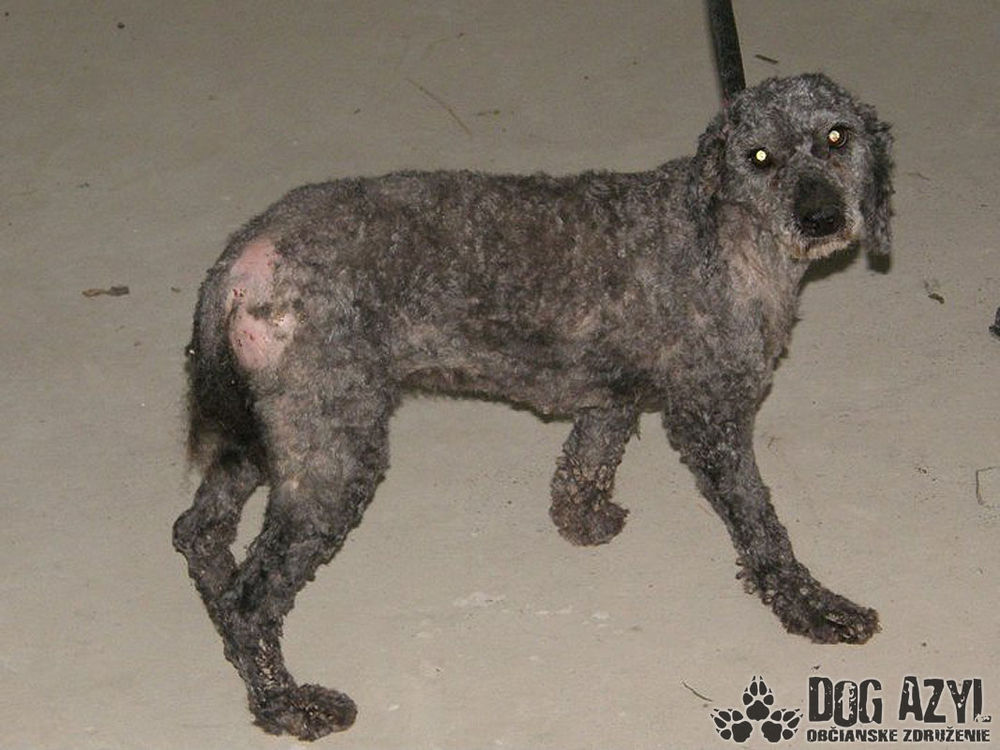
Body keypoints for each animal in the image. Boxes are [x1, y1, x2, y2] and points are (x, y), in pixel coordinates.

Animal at [174, 73, 893, 739]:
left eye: (838, 137)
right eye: (759, 156)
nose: (821, 218)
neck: (726, 231)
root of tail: (243, 259)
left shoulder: (613, 396)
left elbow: (587, 459)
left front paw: (582, 518)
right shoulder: (710, 418)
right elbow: (763, 529)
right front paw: (814, 606)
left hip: (270, 434)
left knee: (198, 531)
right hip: (333, 454)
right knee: (251, 598)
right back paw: (285, 704)